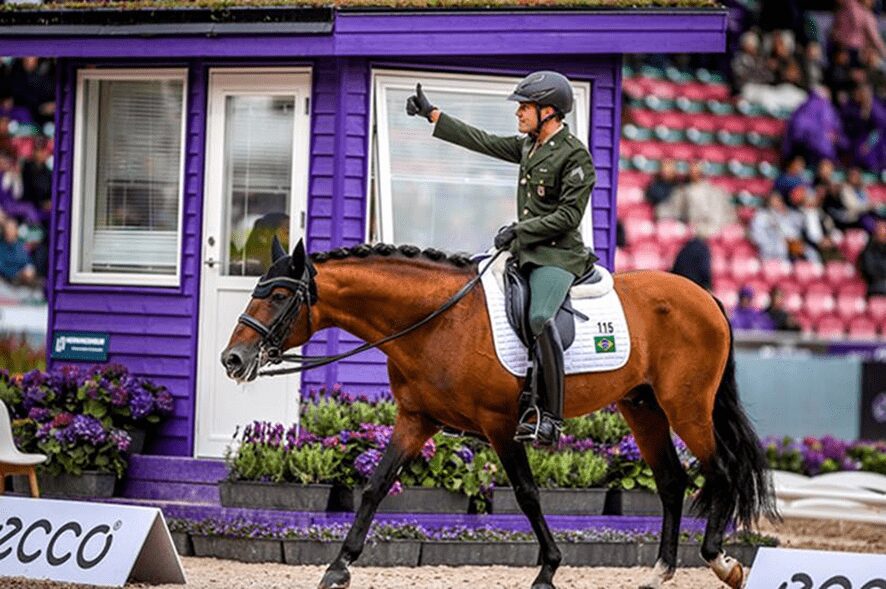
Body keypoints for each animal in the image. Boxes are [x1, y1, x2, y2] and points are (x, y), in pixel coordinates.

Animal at [222, 238, 776, 588]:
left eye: (277, 295)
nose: (233, 359)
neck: (437, 321)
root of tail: (705, 295)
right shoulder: (415, 420)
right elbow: (376, 487)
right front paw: (338, 568)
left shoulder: (501, 426)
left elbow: (528, 495)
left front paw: (548, 570)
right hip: (642, 406)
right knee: (672, 480)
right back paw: (661, 571)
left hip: (686, 406)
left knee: (720, 469)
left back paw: (721, 562)